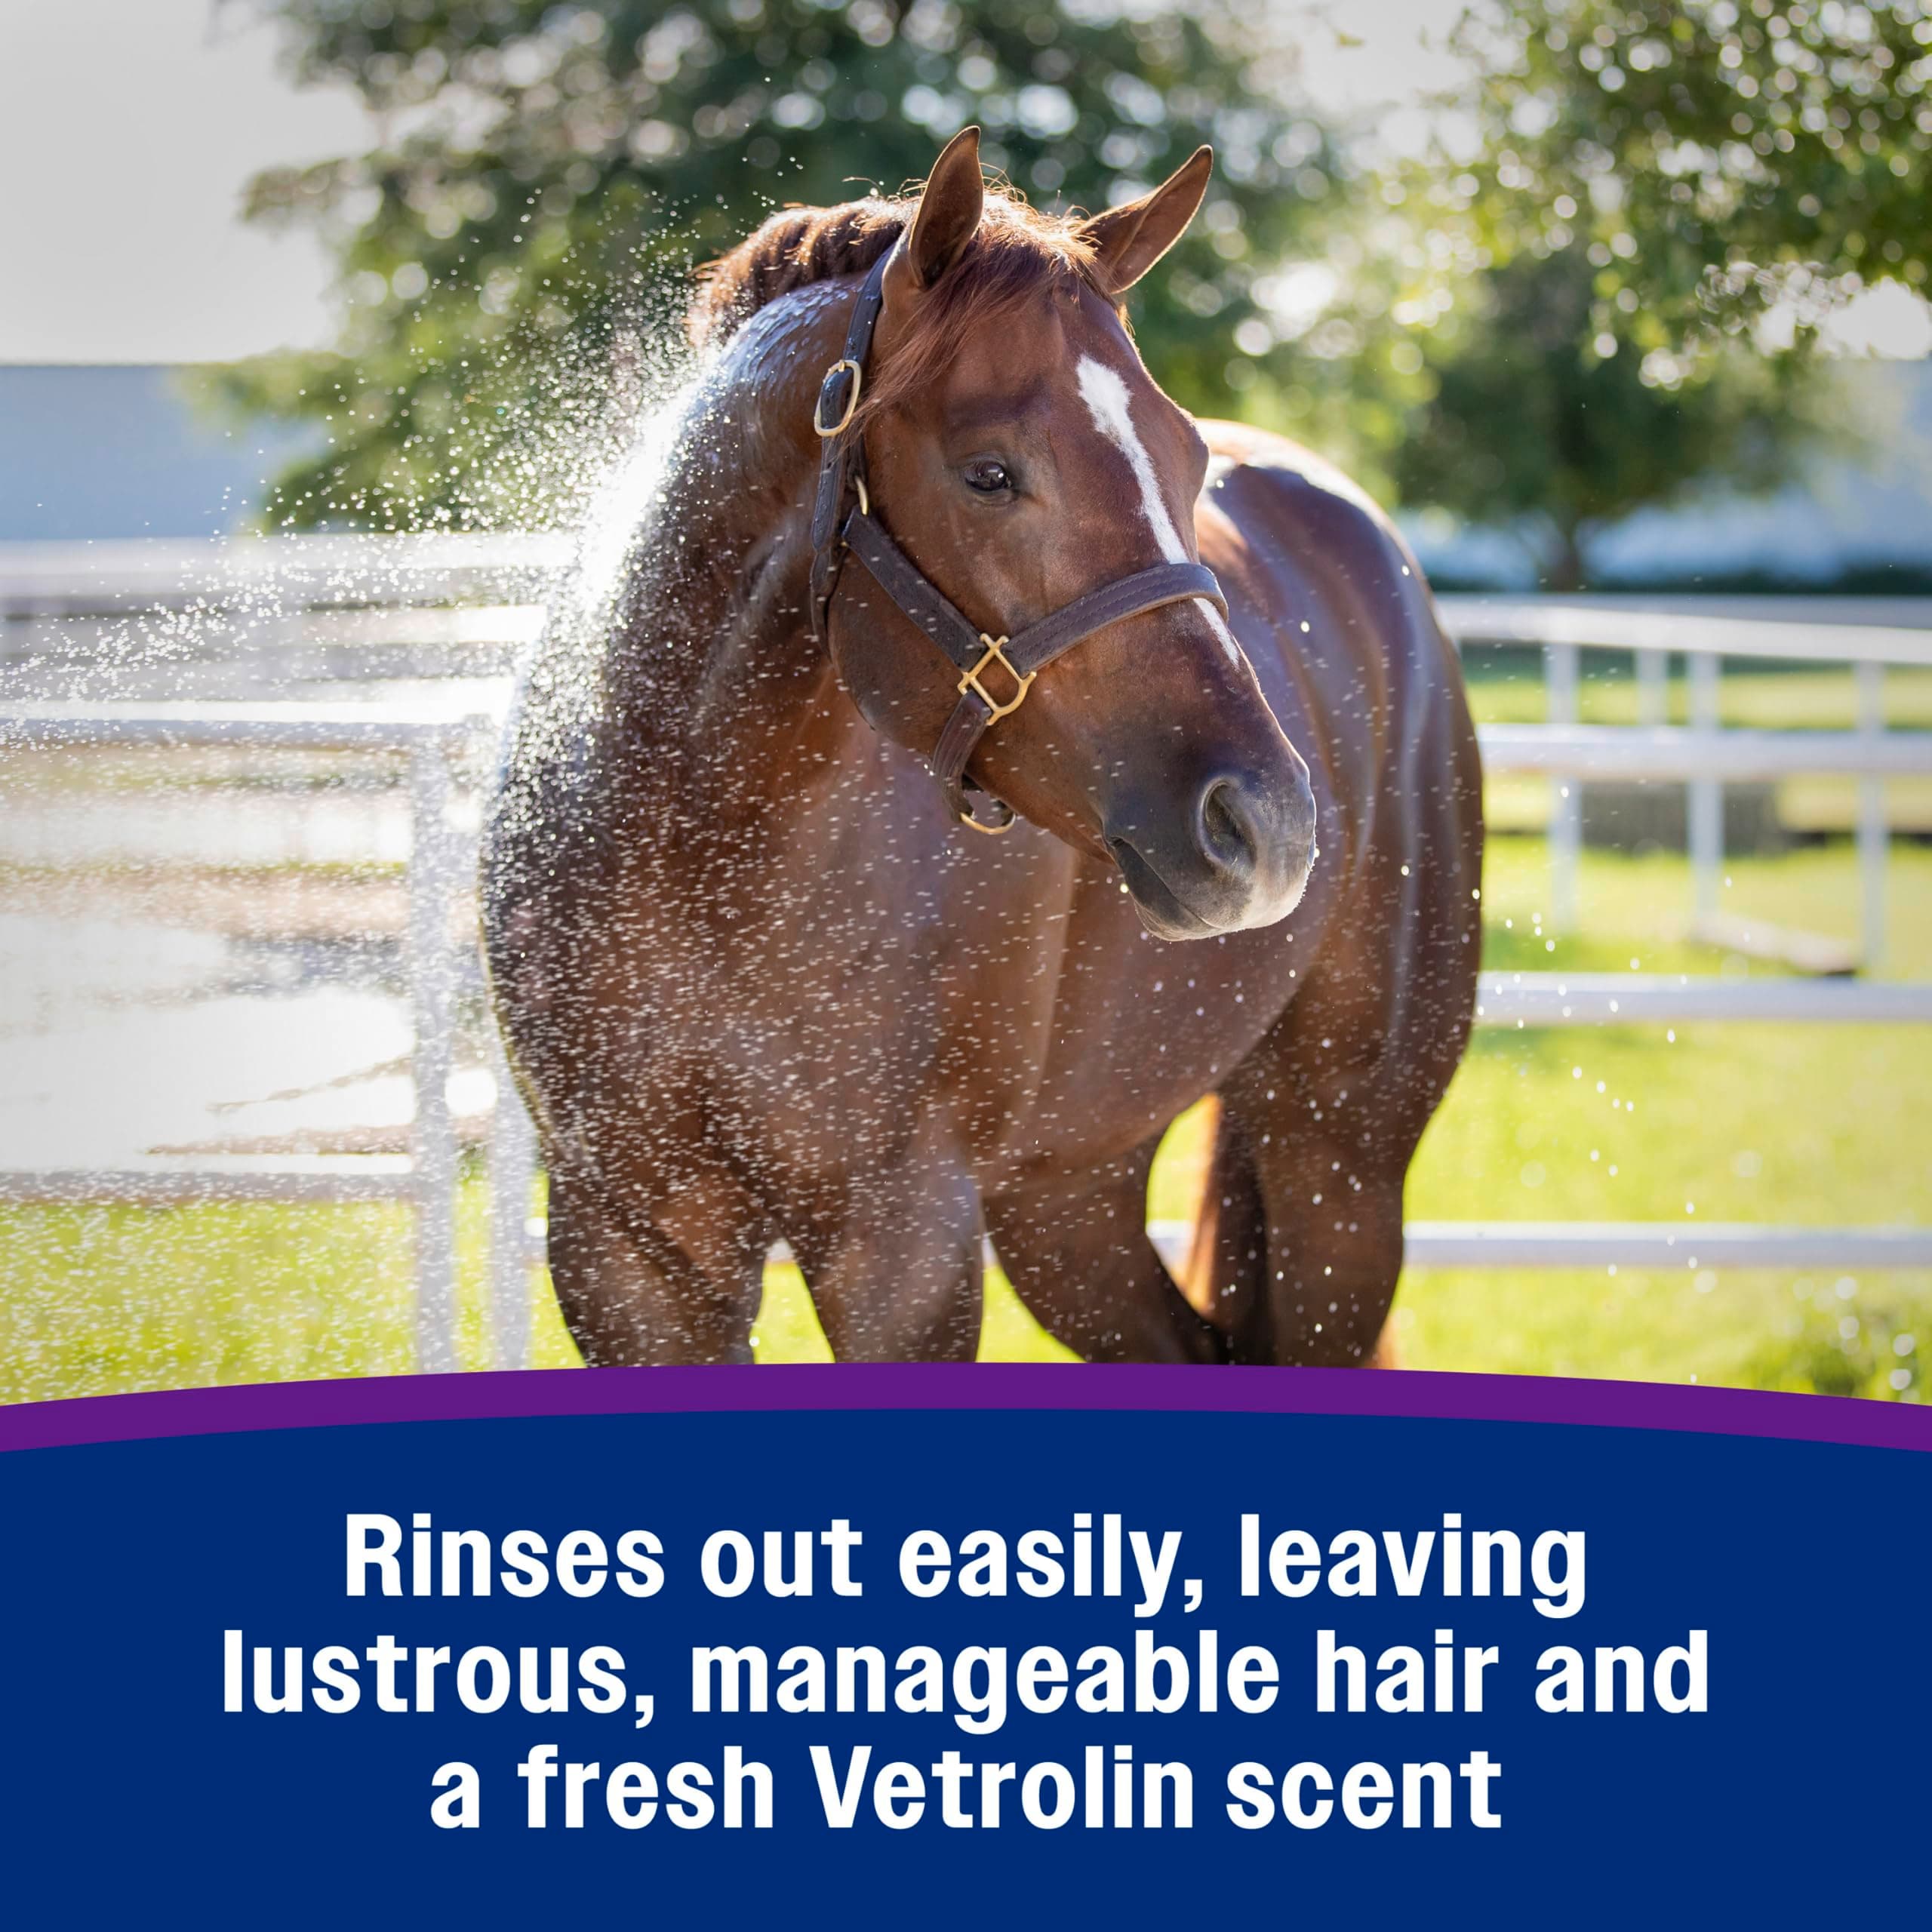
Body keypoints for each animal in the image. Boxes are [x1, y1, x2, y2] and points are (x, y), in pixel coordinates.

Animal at [481, 127, 1483, 1367]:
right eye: (990, 471)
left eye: (1187, 458)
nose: (1270, 825)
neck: (697, 845)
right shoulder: (627, 1253)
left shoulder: (903, 1251)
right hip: (1069, 1194)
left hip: (1338, 1166)